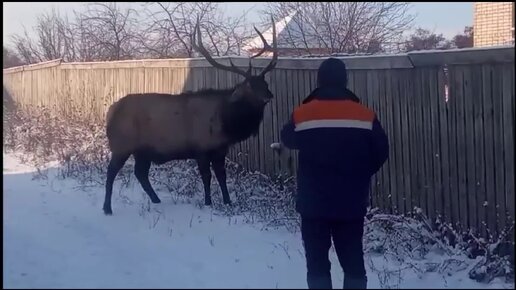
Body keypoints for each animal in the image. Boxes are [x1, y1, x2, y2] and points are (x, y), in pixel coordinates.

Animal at [104, 17, 278, 214]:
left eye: (265, 83)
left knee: (140, 173)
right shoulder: (200, 149)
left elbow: (222, 176)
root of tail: (110, 112)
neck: (226, 124)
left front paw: (228, 202)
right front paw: (208, 202)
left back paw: (156, 200)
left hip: (142, 150)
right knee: (112, 172)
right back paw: (107, 208)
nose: (269, 96)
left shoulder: (220, 150)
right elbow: (206, 177)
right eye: (250, 85)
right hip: (121, 144)